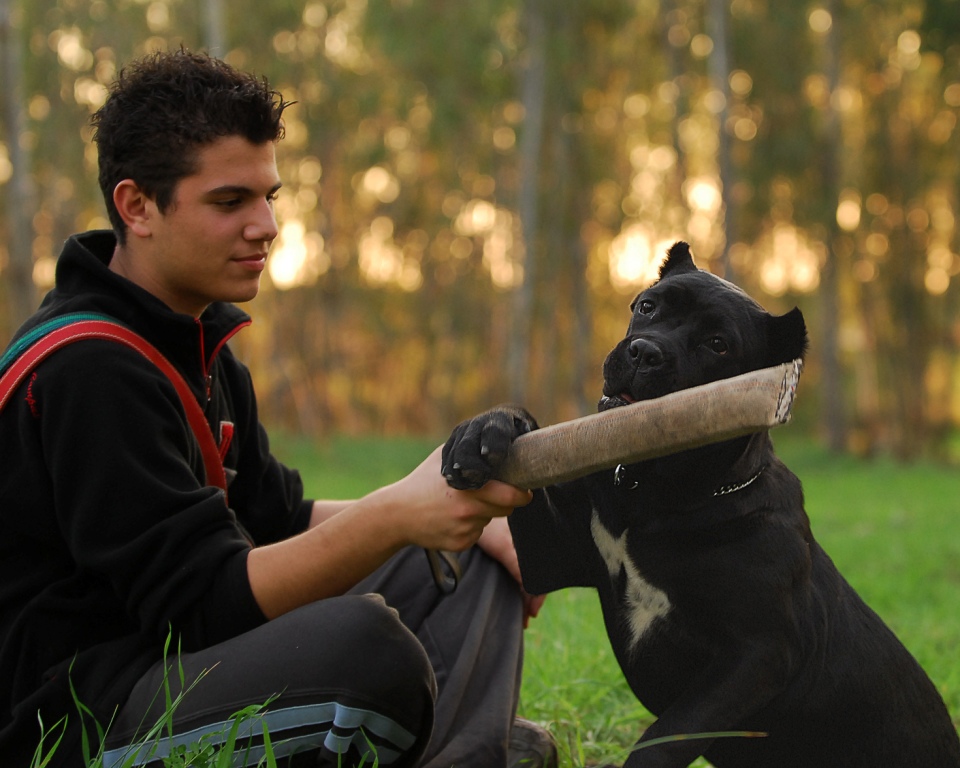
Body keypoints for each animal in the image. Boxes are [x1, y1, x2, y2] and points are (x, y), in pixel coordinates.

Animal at [442, 243, 960, 768]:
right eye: (647, 306)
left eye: (718, 344)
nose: (644, 352)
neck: (653, 494)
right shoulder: (546, 558)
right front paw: (486, 429)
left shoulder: (757, 654)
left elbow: (661, 740)